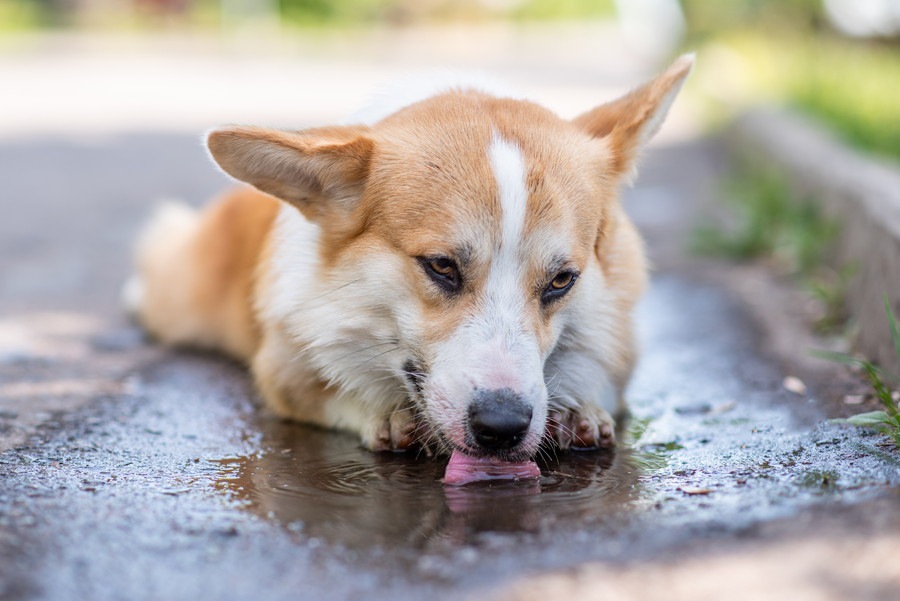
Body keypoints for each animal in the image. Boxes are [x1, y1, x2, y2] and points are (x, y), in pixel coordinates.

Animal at [123, 55, 692, 468]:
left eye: (561, 280)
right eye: (441, 266)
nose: (503, 428)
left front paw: (579, 411)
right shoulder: (285, 366)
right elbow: (326, 391)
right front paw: (385, 415)